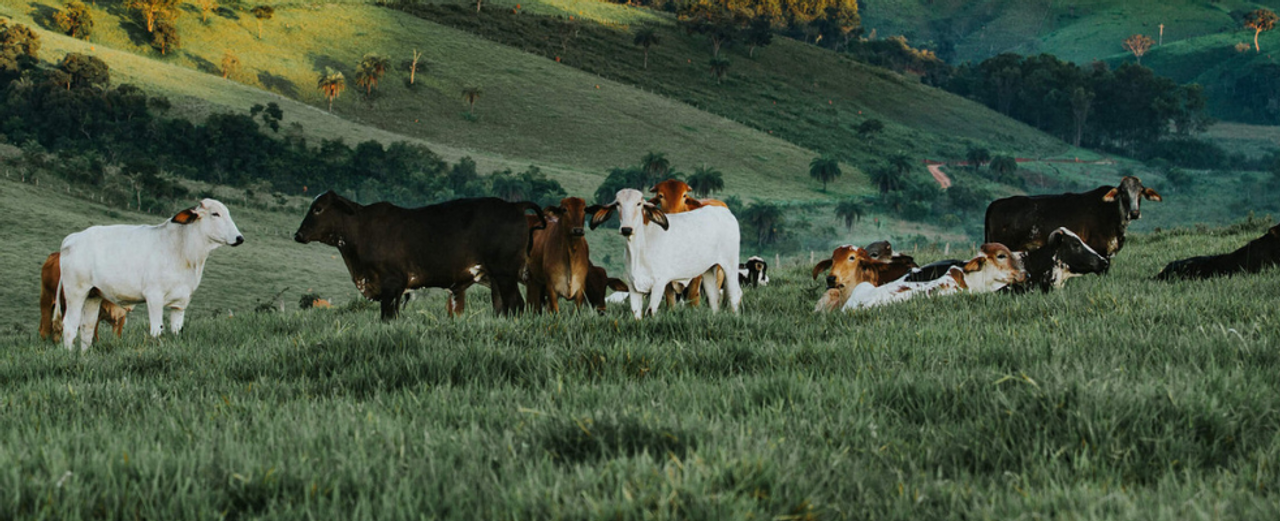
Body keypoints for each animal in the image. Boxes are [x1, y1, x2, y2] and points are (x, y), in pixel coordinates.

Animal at [57, 199, 243, 350]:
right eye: (215, 213)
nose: (239, 238)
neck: (183, 250)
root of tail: (73, 238)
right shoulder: (154, 297)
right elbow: (156, 330)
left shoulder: (181, 302)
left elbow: (176, 331)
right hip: (76, 292)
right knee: (70, 325)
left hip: (93, 295)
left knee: (87, 327)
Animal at [293, 192, 542, 320]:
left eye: (318, 208)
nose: (298, 234)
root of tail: (514, 206)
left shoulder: (392, 284)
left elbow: (387, 315)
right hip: (496, 278)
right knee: (502, 307)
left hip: (506, 274)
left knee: (516, 304)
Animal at [586, 188, 742, 318]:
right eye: (618, 203)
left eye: (639, 204)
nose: (626, 229)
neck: (639, 249)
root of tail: (725, 212)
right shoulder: (633, 286)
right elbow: (636, 314)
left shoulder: (659, 284)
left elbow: (650, 312)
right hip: (709, 270)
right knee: (713, 297)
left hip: (730, 264)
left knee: (735, 293)